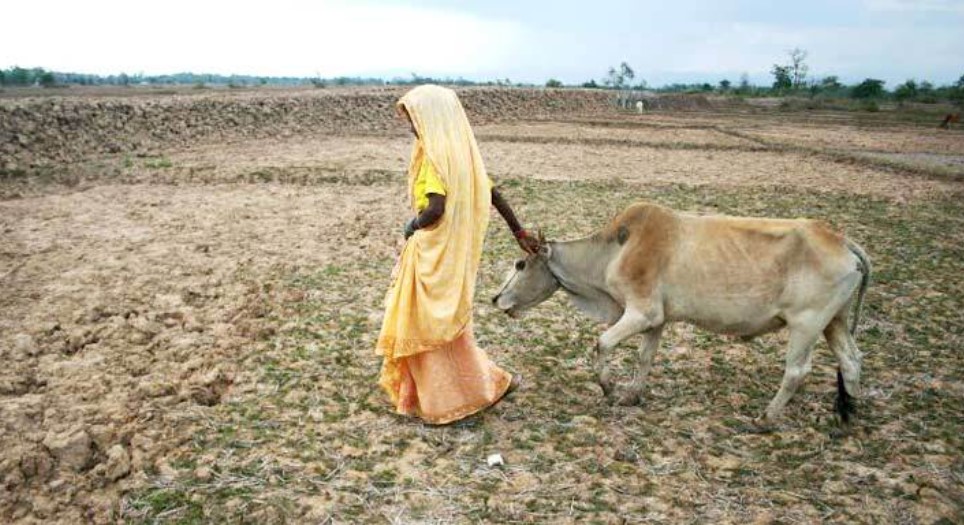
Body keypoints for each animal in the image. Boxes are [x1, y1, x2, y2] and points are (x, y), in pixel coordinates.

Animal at [494, 202, 868, 426]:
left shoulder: (640, 313)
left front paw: (610, 390)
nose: (497, 298)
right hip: (834, 321)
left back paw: (766, 418)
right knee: (851, 360)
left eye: (521, 263)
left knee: (797, 371)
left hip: (806, 324)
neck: (615, 250)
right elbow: (644, 358)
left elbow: (602, 344)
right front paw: (631, 395)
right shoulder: (656, 321)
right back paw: (846, 413)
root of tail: (842, 241)